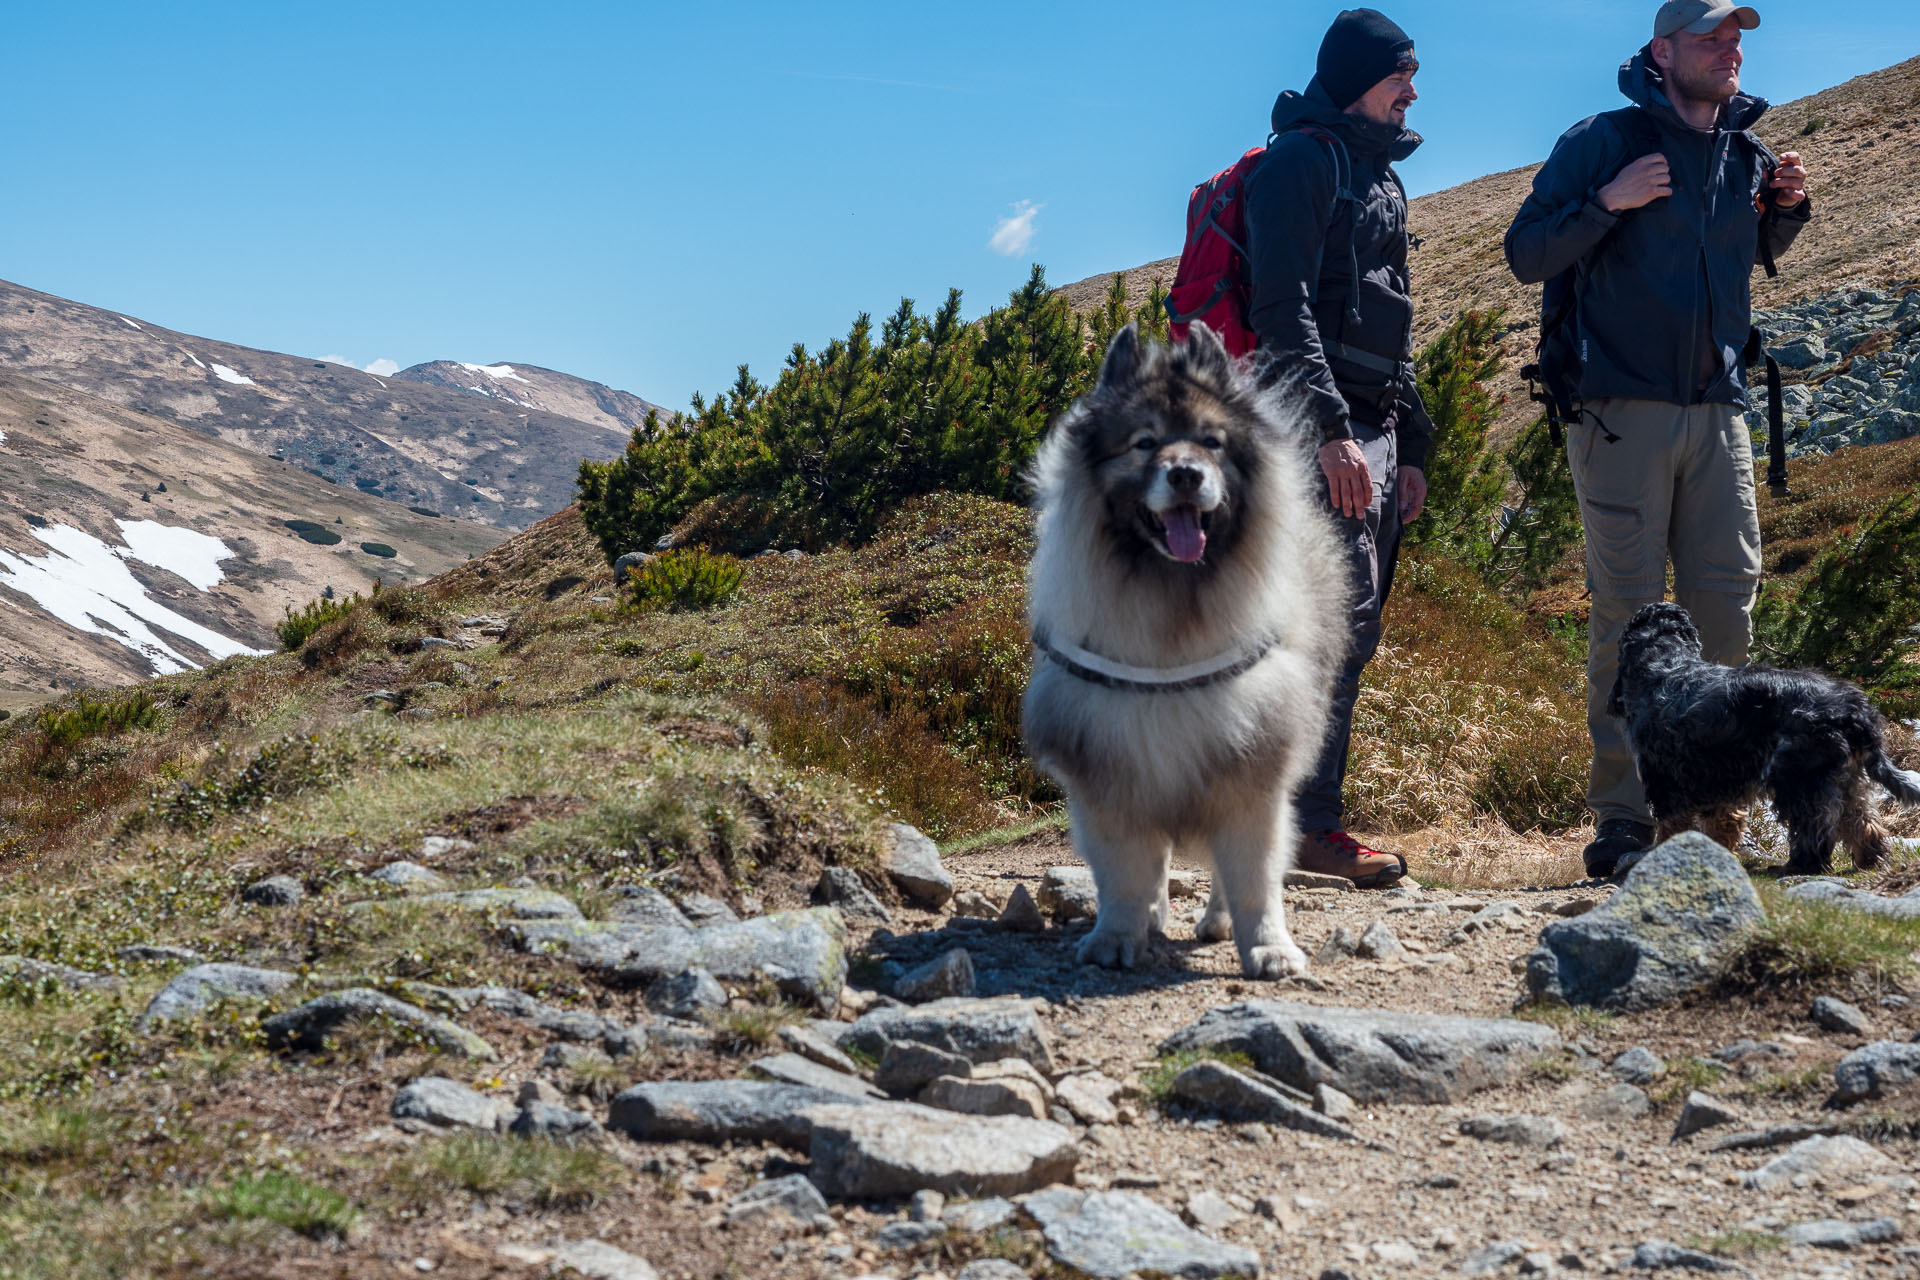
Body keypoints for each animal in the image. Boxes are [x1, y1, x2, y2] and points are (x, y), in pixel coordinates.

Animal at [1021, 322, 1351, 982]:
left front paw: (1269, 947)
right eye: (1144, 443)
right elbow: (1125, 876)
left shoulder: (1251, 775)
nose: (1185, 475)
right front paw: (1117, 936)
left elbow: (1253, 879)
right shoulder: (1112, 776)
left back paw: (1218, 922)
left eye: (1211, 442)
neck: (1173, 608)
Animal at [1605, 606, 1920, 875]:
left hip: (1798, 778)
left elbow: (1671, 825)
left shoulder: (1665, 779)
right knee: (1862, 820)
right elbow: (1723, 823)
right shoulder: (1718, 781)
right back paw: (1870, 859)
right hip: (1846, 776)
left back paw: (1800, 865)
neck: (1665, 666)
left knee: (1815, 826)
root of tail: (1853, 708)